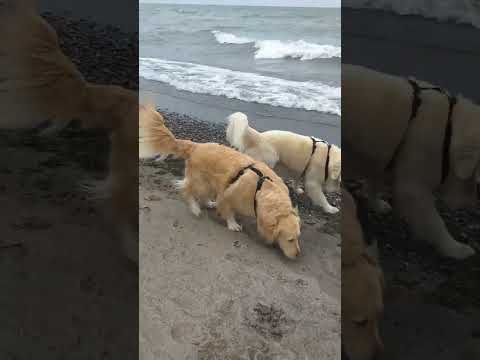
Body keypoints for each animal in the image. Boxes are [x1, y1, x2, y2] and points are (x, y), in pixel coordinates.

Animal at [139, 106, 302, 258]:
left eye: (297, 238)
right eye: (290, 239)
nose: (297, 255)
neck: (262, 187)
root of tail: (197, 146)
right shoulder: (228, 194)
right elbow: (228, 210)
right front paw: (233, 224)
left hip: (211, 183)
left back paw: (209, 203)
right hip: (202, 182)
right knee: (187, 190)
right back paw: (195, 208)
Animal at [344, 62, 478, 258]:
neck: (450, 131)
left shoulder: (386, 156)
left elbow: (376, 182)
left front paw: (376, 203)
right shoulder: (414, 187)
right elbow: (436, 222)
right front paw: (455, 248)